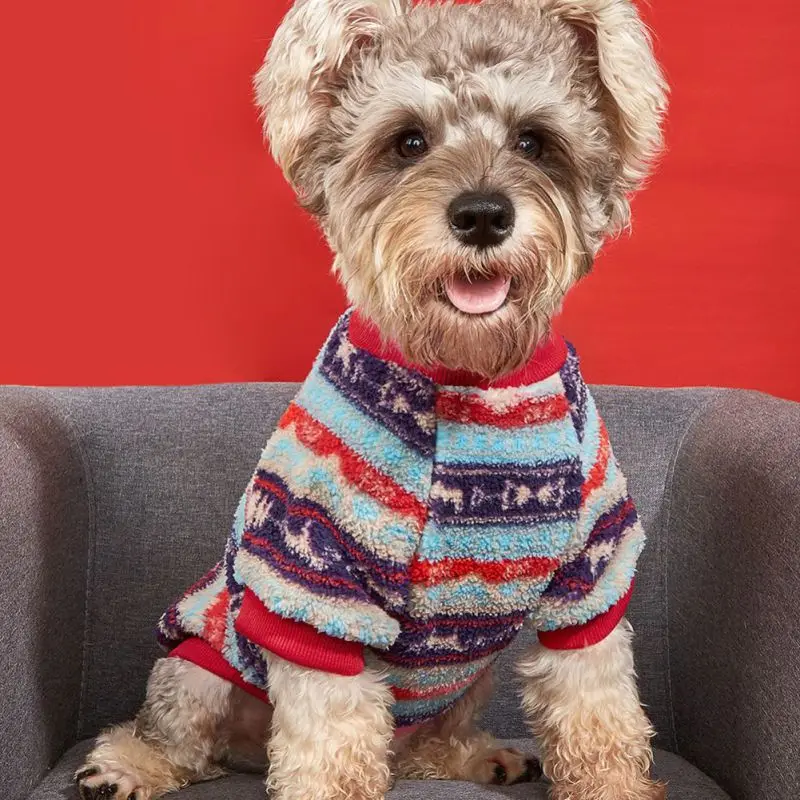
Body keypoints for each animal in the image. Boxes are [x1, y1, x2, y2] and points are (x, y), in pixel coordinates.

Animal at [75, 1, 664, 800]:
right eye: (407, 141)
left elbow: (598, 719)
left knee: (420, 742)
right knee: (180, 741)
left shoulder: (592, 583)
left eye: (534, 141)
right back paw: (129, 766)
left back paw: (474, 756)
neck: (468, 377)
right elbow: (330, 746)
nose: (483, 214)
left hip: (466, 681)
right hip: (201, 664)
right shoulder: (318, 589)